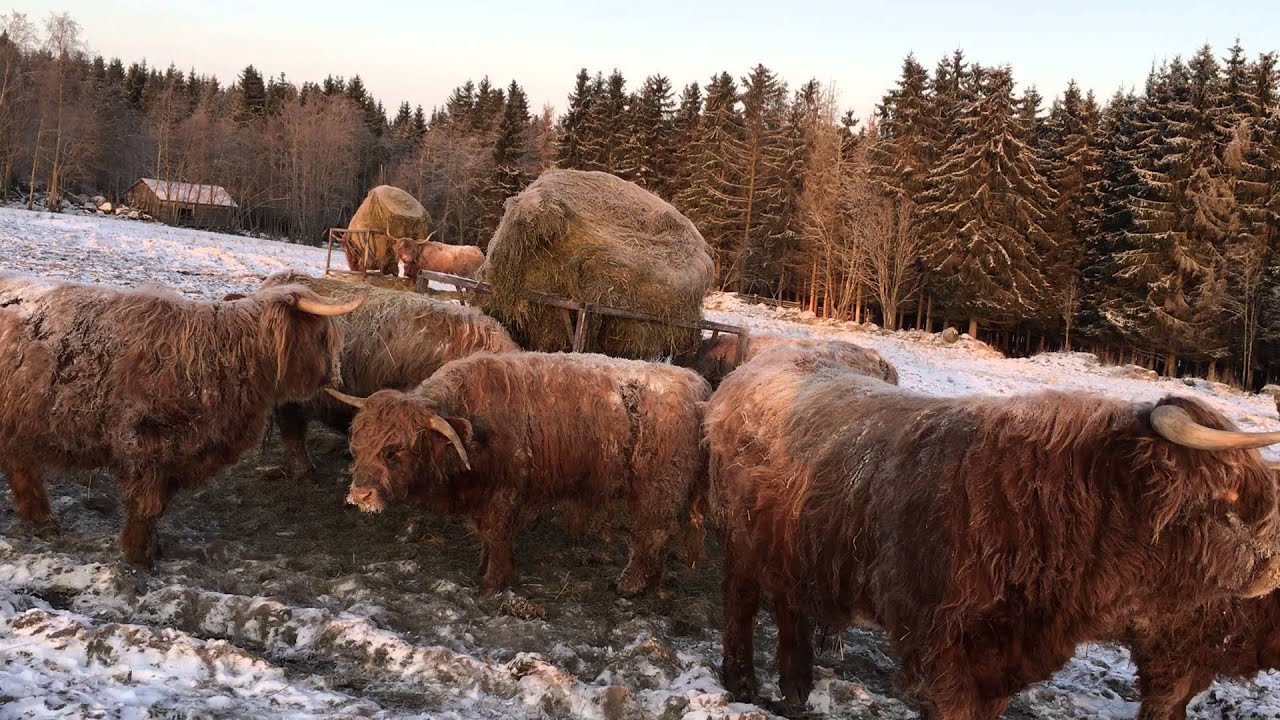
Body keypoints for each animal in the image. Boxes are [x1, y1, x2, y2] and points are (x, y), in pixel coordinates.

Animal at [0, 273, 364, 568]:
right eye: (320, 337)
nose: (335, 375)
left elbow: (158, 507)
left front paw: (152, 548)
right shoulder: (145, 445)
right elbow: (146, 506)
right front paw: (138, 556)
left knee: (20, 466)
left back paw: (42, 521)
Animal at [326, 351, 710, 596]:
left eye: (395, 450)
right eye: (357, 444)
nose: (360, 494)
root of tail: (693, 383)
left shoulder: (505, 493)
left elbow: (497, 536)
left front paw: (492, 582)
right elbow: (486, 536)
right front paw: (483, 568)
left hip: (658, 488)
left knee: (652, 534)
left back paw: (629, 584)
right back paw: (652, 583)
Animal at [705, 343, 1280, 718]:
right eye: (1229, 498)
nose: (1274, 563)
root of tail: (752, 367)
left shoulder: (1000, 660)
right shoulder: (942, 650)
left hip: (795, 547)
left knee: (789, 605)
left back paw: (797, 687)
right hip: (742, 539)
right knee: (740, 599)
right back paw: (742, 680)